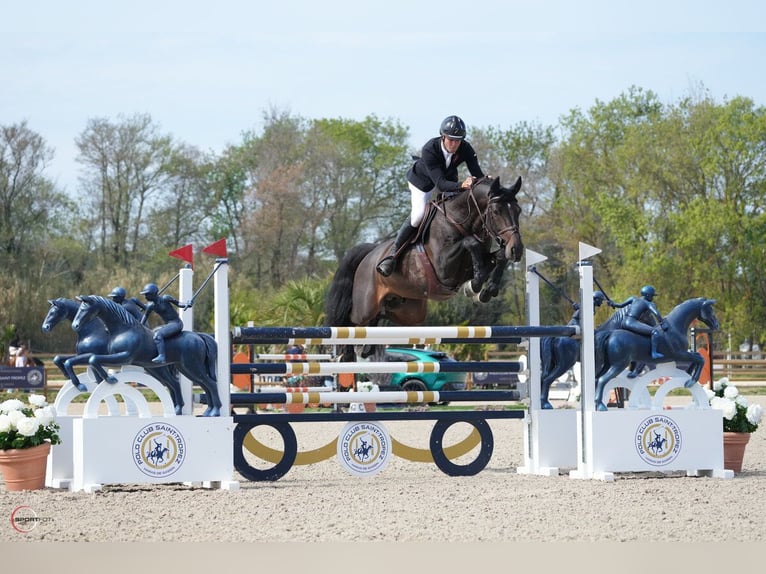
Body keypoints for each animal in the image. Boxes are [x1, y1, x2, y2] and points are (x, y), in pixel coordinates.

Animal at [42, 296, 186, 414]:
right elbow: (59, 359)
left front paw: (80, 384)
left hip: (158, 368)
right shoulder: (83, 355)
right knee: (170, 384)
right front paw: (69, 377)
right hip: (153, 369)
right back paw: (176, 408)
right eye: (49, 311)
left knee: (172, 383)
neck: (91, 330)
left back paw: (177, 408)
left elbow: (71, 362)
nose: (45, 327)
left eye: (53, 312)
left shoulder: (90, 355)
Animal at [69, 296, 224, 418]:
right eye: (79, 309)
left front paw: (109, 379)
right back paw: (198, 411)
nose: (75, 325)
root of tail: (199, 337)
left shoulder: (124, 357)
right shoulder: (112, 356)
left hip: (191, 366)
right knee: (188, 384)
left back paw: (215, 411)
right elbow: (88, 359)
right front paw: (97, 381)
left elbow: (93, 359)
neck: (123, 329)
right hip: (176, 368)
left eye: (84, 309)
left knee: (209, 383)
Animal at [324, 178, 528, 336]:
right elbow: (470, 243)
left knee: (381, 317)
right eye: (496, 212)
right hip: (364, 309)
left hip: (408, 311)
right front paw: (476, 284)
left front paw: (486, 289)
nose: (516, 249)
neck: (462, 221)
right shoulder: (445, 269)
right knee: (350, 322)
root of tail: (370, 252)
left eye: (518, 210)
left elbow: (498, 258)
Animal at [592, 296, 720, 414]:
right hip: (619, 365)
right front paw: (691, 381)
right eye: (710, 310)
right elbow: (700, 359)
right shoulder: (680, 354)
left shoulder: (682, 354)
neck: (675, 327)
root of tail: (610, 334)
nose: (717, 325)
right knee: (602, 379)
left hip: (608, 364)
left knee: (598, 378)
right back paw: (601, 406)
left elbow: (697, 356)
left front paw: (689, 373)